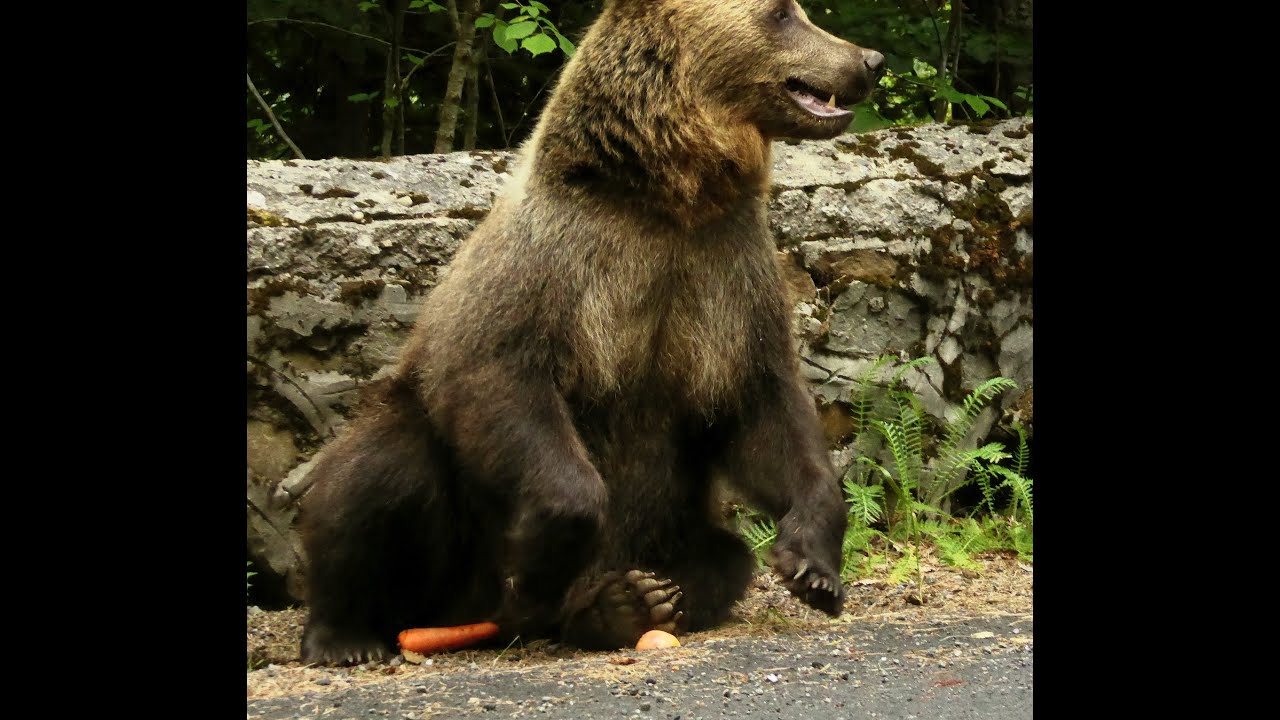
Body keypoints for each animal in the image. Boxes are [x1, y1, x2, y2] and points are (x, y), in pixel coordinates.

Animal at [297, 0, 884, 665]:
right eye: (783, 14)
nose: (868, 61)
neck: (668, 194)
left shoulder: (729, 277)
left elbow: (765, 409)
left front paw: (812, 566)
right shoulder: (554, 264)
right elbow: (500, 378)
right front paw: (540, 560)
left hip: (667, 523)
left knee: (724, 557)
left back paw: (626, 603)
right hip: (447, 554)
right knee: (379, 473)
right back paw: (346, 632)